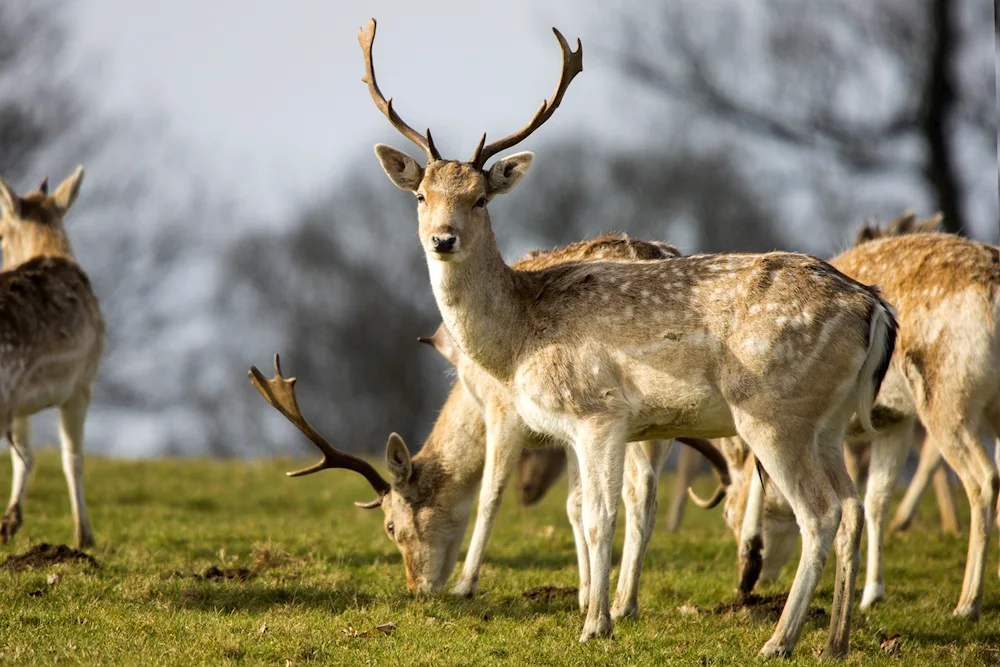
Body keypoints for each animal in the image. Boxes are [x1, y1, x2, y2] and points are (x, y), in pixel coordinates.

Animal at [0, 170, 104, 552]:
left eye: (0, 233)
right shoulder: (82, 382)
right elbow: (71, 458)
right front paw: (84, 537)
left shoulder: (21, 401)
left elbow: (25, 455)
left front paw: (10, 523)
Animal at [249, 231, 728, 616]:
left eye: (390, 527)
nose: (416, 589)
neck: (470, 391)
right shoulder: (569, 433)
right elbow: (575, 504)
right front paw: (584, 593)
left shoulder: (507, 413)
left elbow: (491, 497)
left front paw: (466, 585)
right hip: (660, 417)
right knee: (645, 492)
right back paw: (626, 601)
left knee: (636, 489)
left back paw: (622, 602)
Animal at [362, 18, 900, 660]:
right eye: (421, 195)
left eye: (480, 198)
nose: (442, 238)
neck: (517, 341)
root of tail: (874, 306)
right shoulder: (591, 429)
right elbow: (592, 512)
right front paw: (601, 613)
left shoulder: (598, 412)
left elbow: (597, 516)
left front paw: (594, 623)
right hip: (830, 423)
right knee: (851, 507)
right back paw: (834, 642)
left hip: (774, 413)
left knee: (818, 514)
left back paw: (779, 641)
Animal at [704, 220, 1000, 620]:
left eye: (728, 516)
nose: (746, 583)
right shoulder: (895, 420)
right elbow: (876, 499)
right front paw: (872, 594)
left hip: (948, 396)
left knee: (983, 478)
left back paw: (967, 603)